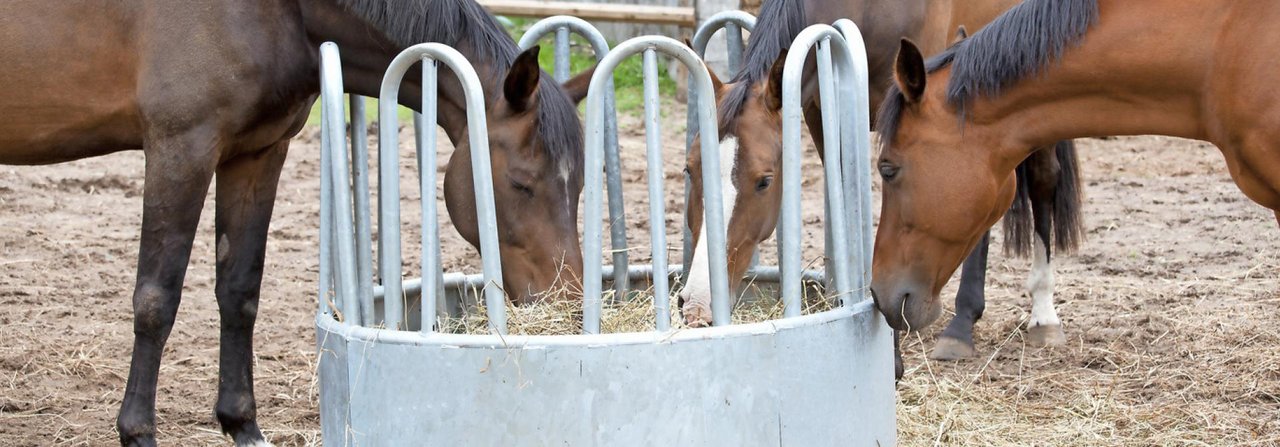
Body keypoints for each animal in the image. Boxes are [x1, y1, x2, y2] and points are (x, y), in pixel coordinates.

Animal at [0, 1, 588, 443]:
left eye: (580, 184)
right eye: (521, 184)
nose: (567, 299)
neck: (273, 10)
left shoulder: (257, 154)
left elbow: (239, 291)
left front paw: (241, 425)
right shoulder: (180, 149)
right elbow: (156, 298)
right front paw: (138, 432)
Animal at [675, 0, 1085, 368]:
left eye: (764, 181)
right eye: (690, 169)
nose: (697, 302)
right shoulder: (820, 112)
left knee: (1041, 180)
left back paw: (1017, 318)